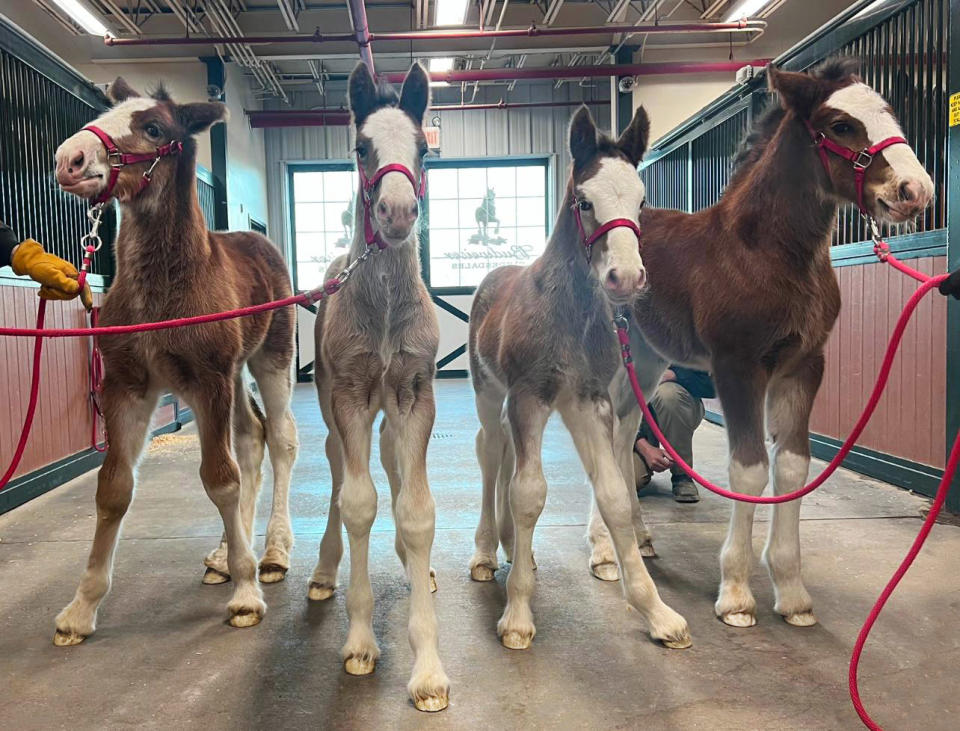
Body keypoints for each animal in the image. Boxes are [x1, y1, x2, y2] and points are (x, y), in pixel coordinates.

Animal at [48, 77, 294, 644]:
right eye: (106, 113)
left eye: (154, 128)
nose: (69, 159)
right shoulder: (126, 386)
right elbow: (114, 486)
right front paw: (80, 608)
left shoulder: (208, 381)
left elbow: (220, 478)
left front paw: (246, 594)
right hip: (233, 376)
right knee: (251, 438)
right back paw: (227, 554)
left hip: (270, 359)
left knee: (279, 438)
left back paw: (271, 553)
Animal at [466, 106, 688, 648]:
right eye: (585, 201)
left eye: (642, 199)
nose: (626, 278)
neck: (568, 317)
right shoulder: (528, 397)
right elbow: (529, 494)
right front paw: (517, 616)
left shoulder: (589, 401)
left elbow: (614, 495)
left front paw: (657, 612)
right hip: (489, 393)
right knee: (490, 455)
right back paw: (485, 553)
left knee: (507, 456)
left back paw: (514, 549)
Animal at [596, 58, 932, 628]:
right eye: (841, 125)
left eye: (890, 110)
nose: (916, 190)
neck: (767, 254)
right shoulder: (737, 367)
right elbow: (749, 468)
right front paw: (735, 593)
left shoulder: (804, 365)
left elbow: (792, 466)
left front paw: (792, 593)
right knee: (614, 431)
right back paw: (603, 551)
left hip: (648, 354)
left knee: (624, 432)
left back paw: (637, 539)